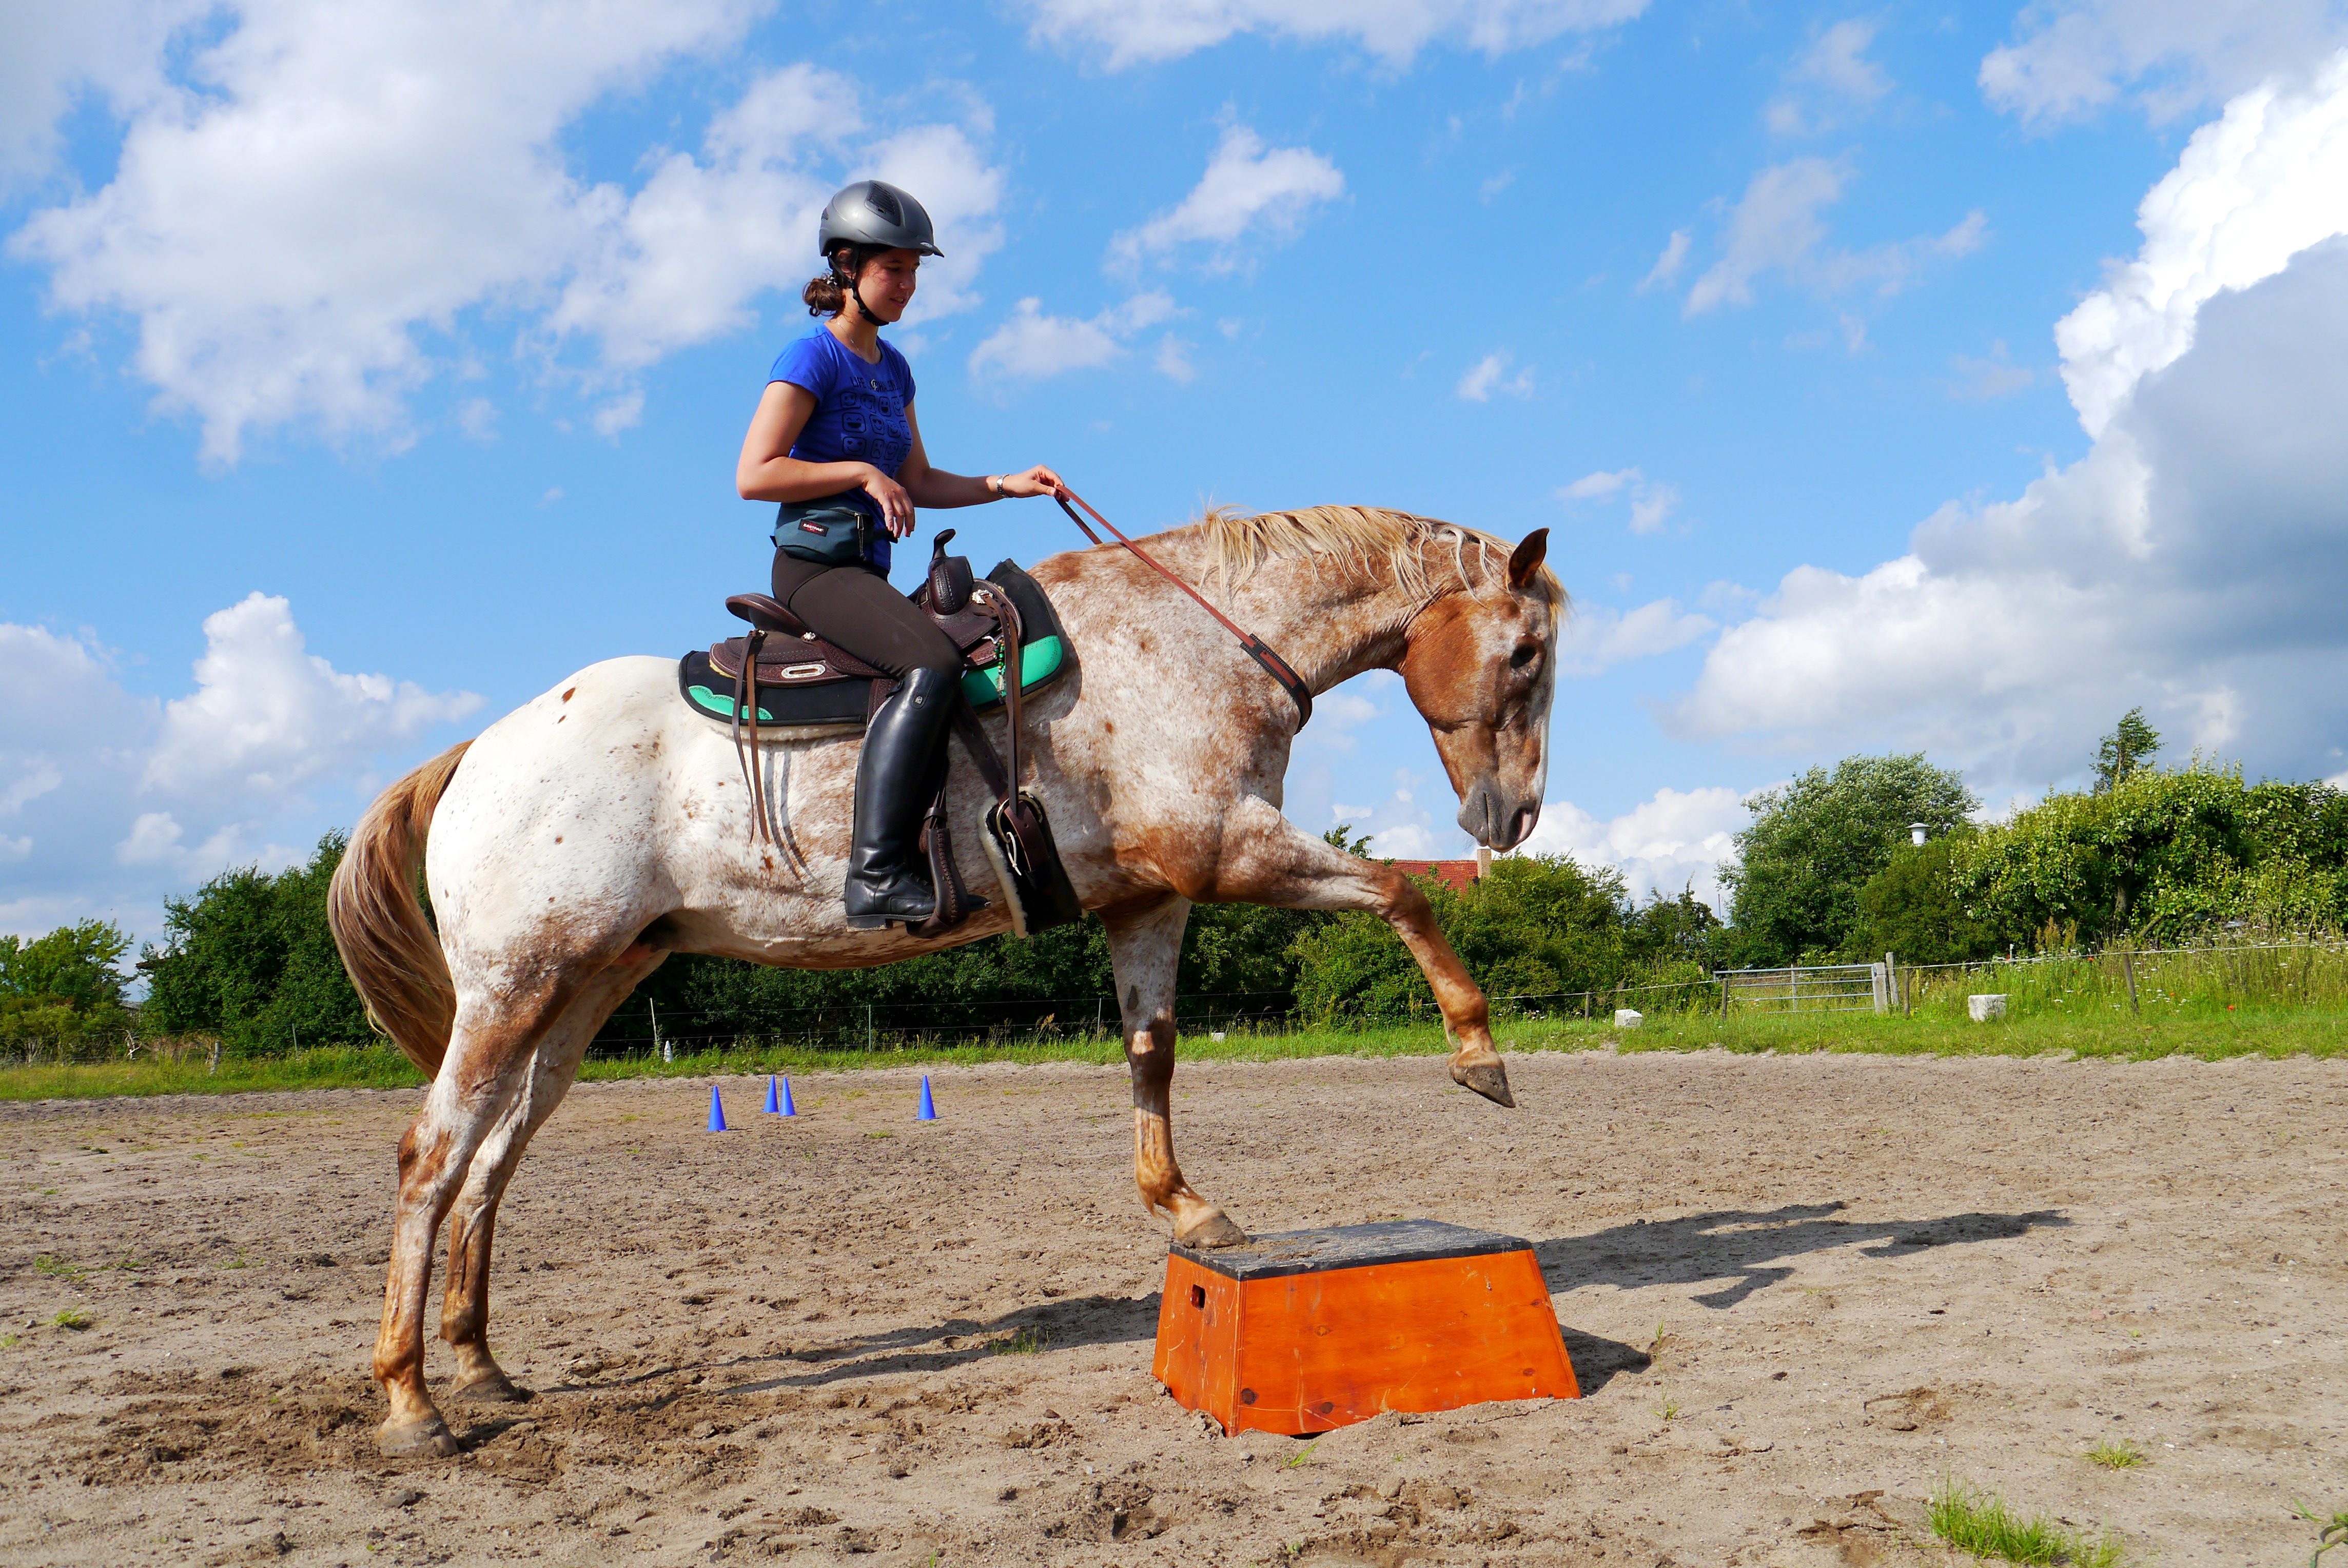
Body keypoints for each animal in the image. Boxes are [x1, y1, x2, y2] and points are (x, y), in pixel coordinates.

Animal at [328, 504, 1563, 1458]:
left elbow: (1152, 1052)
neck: (1193, 640)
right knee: (432, 1155)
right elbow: (1400, 894)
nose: (1509, 818)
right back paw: (412, 1402)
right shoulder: (1231, 850)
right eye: (1525, 656)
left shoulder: (1153, 897)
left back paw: (481, 1364)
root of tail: (477, 753)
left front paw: (1186, 1206)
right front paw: (1478, 1054)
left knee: (496, 1155)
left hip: (583, 990)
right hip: (515, 986)